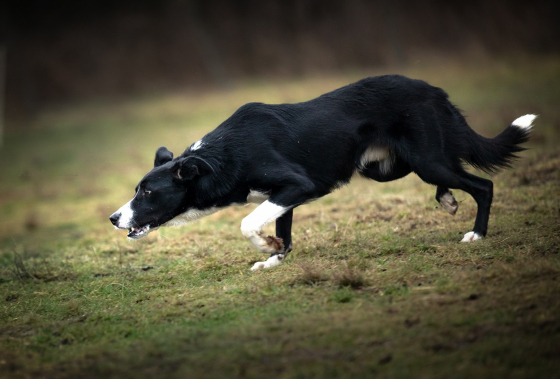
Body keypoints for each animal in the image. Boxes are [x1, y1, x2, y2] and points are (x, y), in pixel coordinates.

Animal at [109, 75, 532, 270]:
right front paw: (273, 257)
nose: (113, 217)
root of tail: (434, 90)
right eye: (137, 189)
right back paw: (447, 199)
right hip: (385, 167)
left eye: (148, 192)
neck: (224, 155)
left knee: (483, 184)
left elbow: (248, 223)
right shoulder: (284, 196)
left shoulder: (298, 185)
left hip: (426, 159)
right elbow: (282, 233)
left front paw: (265, 247)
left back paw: (477, 233)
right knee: (451, 177)